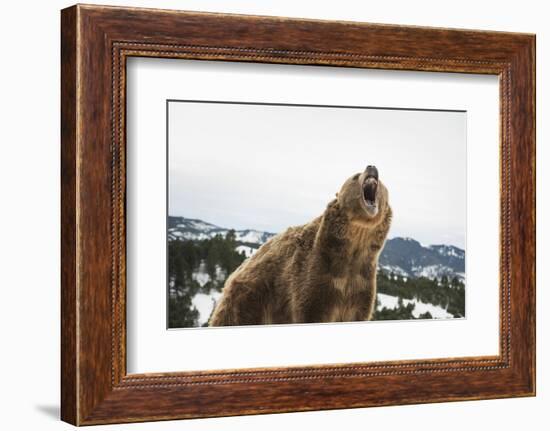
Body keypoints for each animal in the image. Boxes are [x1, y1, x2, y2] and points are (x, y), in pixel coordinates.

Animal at [208, 166, 392, 328]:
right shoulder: (316, 275)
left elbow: (358, 311)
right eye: (355, 176)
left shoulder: (361, 282)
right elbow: (311, 309)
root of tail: (235, 273)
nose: (371, 167)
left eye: (382, 182)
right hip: (248, 300)